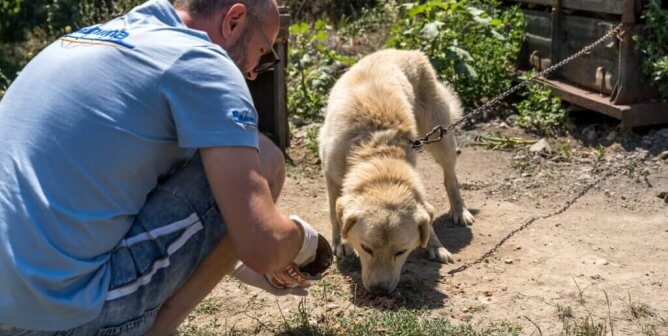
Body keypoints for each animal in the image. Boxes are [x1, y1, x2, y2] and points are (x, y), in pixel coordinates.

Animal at [320, 48, 472, 296]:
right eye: (366, 248)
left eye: (401, 252)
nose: (380, 291)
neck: (376, 151)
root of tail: (407, 50)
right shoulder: (330, 176)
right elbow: (334, 213)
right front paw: (340, 243)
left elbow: (427, 218)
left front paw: (435, 245)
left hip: (440, 137)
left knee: (450, 178)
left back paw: (460, 210)